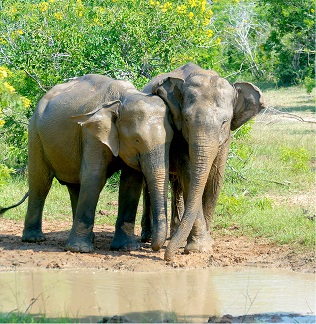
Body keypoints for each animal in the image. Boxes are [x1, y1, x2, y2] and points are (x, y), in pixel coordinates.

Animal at [11, 75, 173, 253]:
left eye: (172, 140)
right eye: (137, 139)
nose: (152, 245)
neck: (122, 98)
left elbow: (130, 182)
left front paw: (126, 247)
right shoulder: (92, 133)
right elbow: (94, 176)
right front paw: (79, 249)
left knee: (74, 186)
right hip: (35, 134)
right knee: (41, 183)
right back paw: (34, 239)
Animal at [141, 62, 264, 260]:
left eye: (225, 122)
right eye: (187, 119)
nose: (168, 257)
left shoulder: (226, 139)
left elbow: (215, 179)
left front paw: (204, 244)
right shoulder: (179, 135)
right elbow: (190, 176)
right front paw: (197, 248)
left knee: (177, 185)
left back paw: (174, 234)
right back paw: (147, 236)